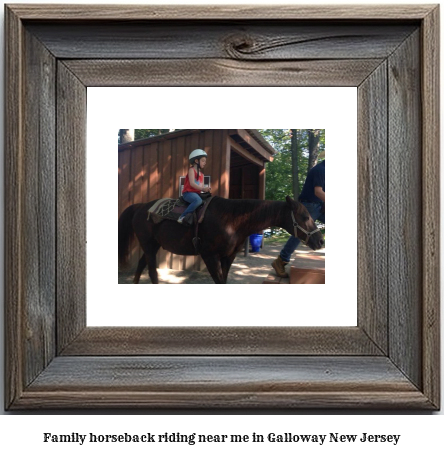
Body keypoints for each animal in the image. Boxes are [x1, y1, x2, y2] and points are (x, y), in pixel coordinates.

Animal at [119, 197, 324, 284]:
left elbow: (224, 280)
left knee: (141, 265)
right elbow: (218, 281)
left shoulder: (228, 257)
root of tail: (140, 207)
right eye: (305, 216)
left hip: (153, 245)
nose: (320, 241)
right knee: (152, 272)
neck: (232, 219)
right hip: (149, 245)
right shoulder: (210, 257)